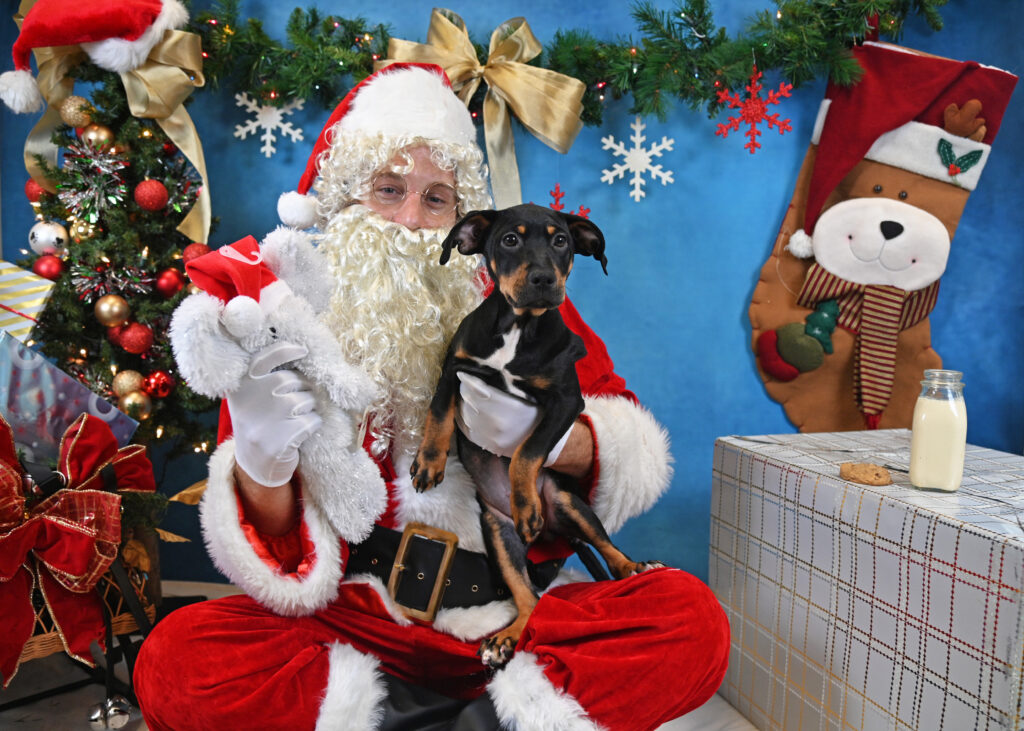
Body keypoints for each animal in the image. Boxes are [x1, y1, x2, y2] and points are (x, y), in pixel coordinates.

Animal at [413, 203, 663, 667]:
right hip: (499, 533)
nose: (545, 279)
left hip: (569, 502)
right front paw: (428, 463)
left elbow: (527, 451)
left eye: (561, 241)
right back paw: (507, 638)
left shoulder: (566, 402)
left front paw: (526, 502)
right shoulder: (454, 367)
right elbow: (438, 412)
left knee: (607, 548)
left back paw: (635, 568)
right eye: (510, 240)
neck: (517, 328)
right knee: (529, 597)